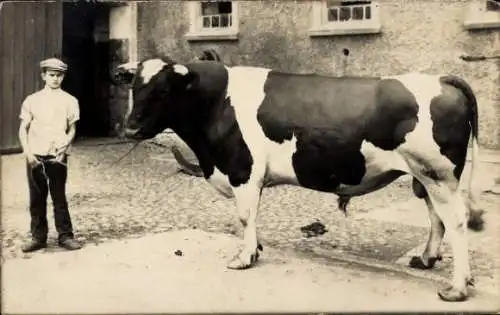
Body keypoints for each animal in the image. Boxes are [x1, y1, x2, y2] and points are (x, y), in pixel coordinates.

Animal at [112, 55, 484, 302]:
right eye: (135, 88)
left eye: (163, 91)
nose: (130, 128)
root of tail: (441, 79)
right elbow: (251, 217)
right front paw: (256, 249)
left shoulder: (243, 169)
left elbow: (244, 215)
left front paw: (243, 258)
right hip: (428, 177)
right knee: (437, 218)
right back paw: (426, 259)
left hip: (439, 175)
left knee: (456, 221)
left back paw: (456, 287)